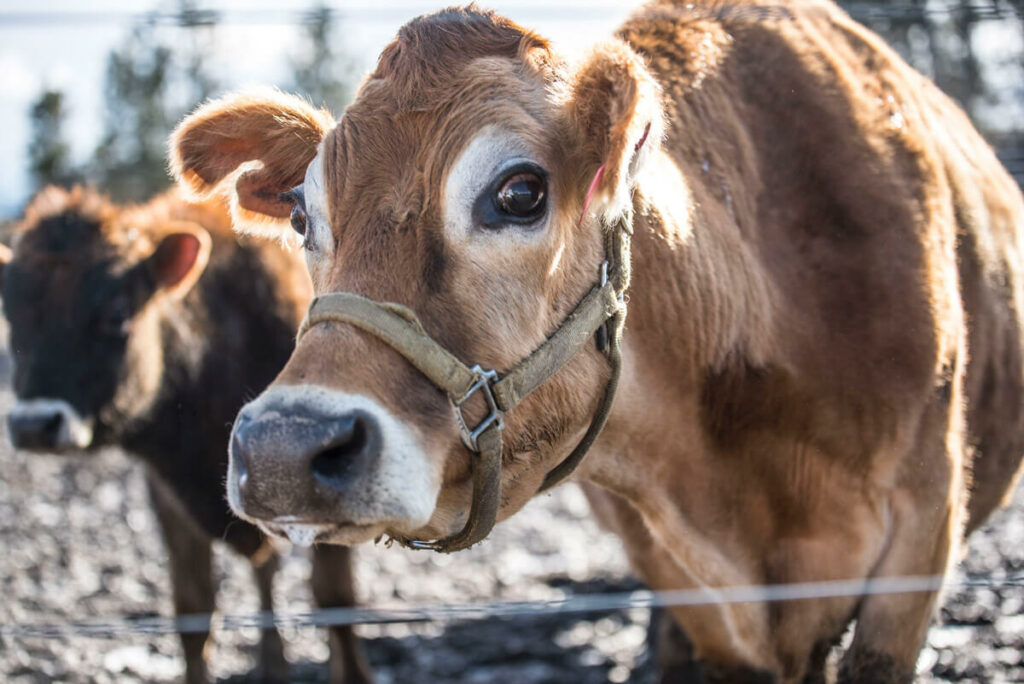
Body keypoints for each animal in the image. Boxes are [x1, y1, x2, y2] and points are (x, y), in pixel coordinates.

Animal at [0, 185, 374, 684]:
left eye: (116, 310)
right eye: (10, 312)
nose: (32, 425)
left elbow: (335, 598)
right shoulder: (168, 494)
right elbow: (193, 611)